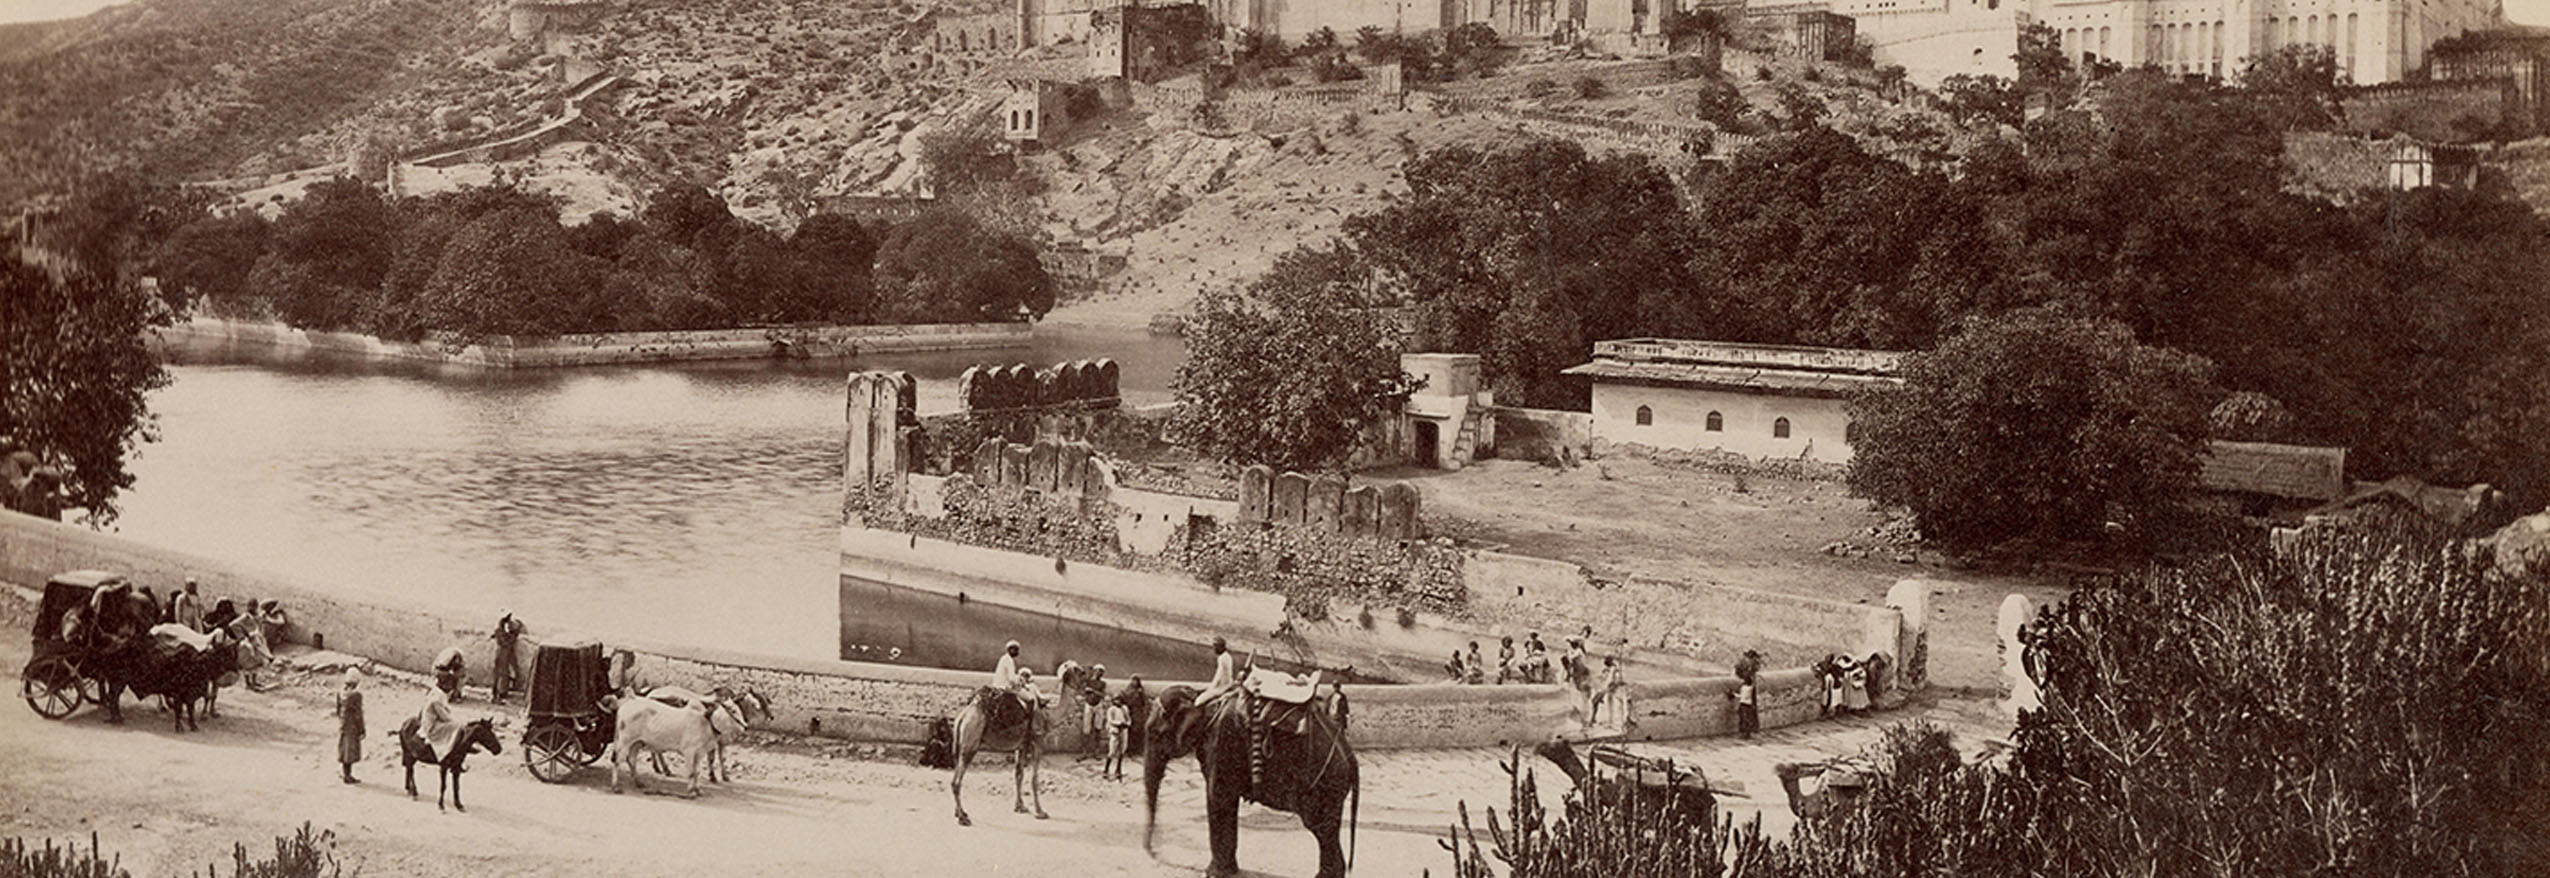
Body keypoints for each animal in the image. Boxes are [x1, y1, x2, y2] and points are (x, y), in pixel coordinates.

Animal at [1147, 684, 1366, 877]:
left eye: (1154, 732)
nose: (1153, 852)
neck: (1202, 696)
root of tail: (1351, 758)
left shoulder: (1222, 740)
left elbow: (1218, 796)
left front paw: (1213, 873)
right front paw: (1228, 871)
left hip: (1323, 783)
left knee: (1319, 827)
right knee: (1328, 829)